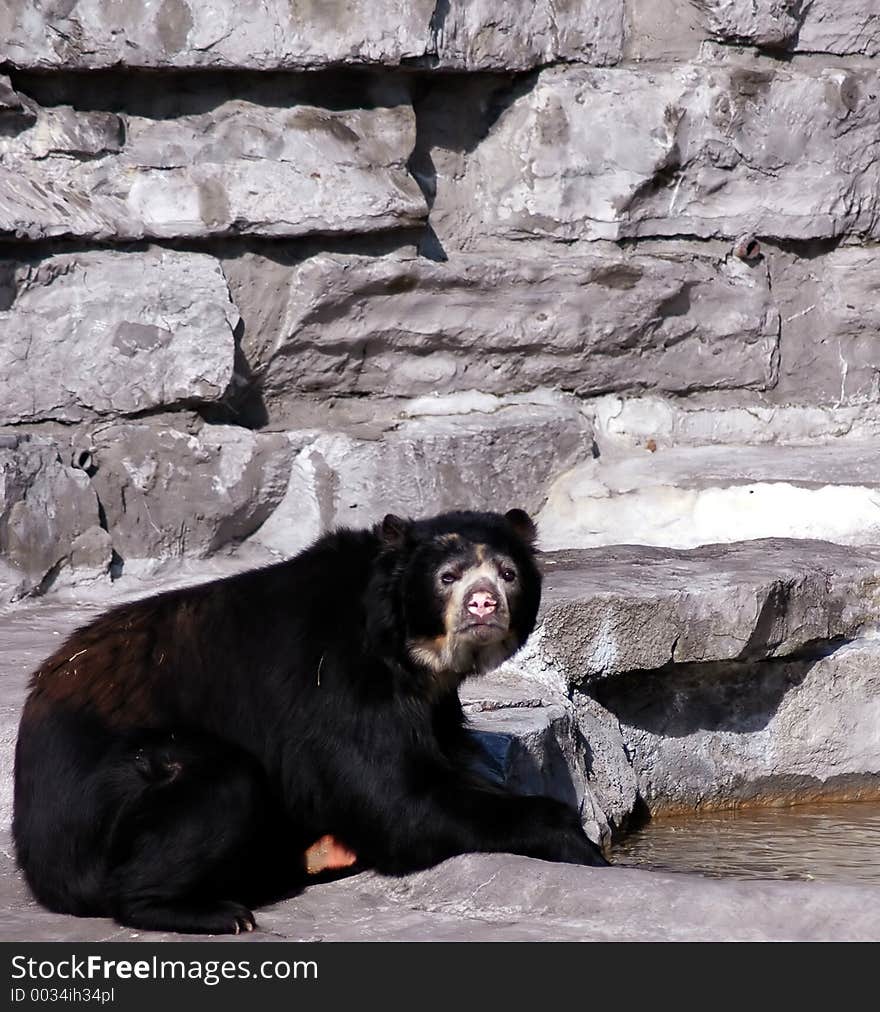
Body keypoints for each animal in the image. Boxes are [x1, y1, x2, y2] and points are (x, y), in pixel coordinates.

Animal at [12, 510, 606, 935]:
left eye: (508, 573)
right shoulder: (335, 679)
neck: (404, 645)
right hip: (109, 800)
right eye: (448, 577)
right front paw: (582, 845)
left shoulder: (430, 700)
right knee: (220, 782)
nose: (484, 604)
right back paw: (213, 912)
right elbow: (394, 797)